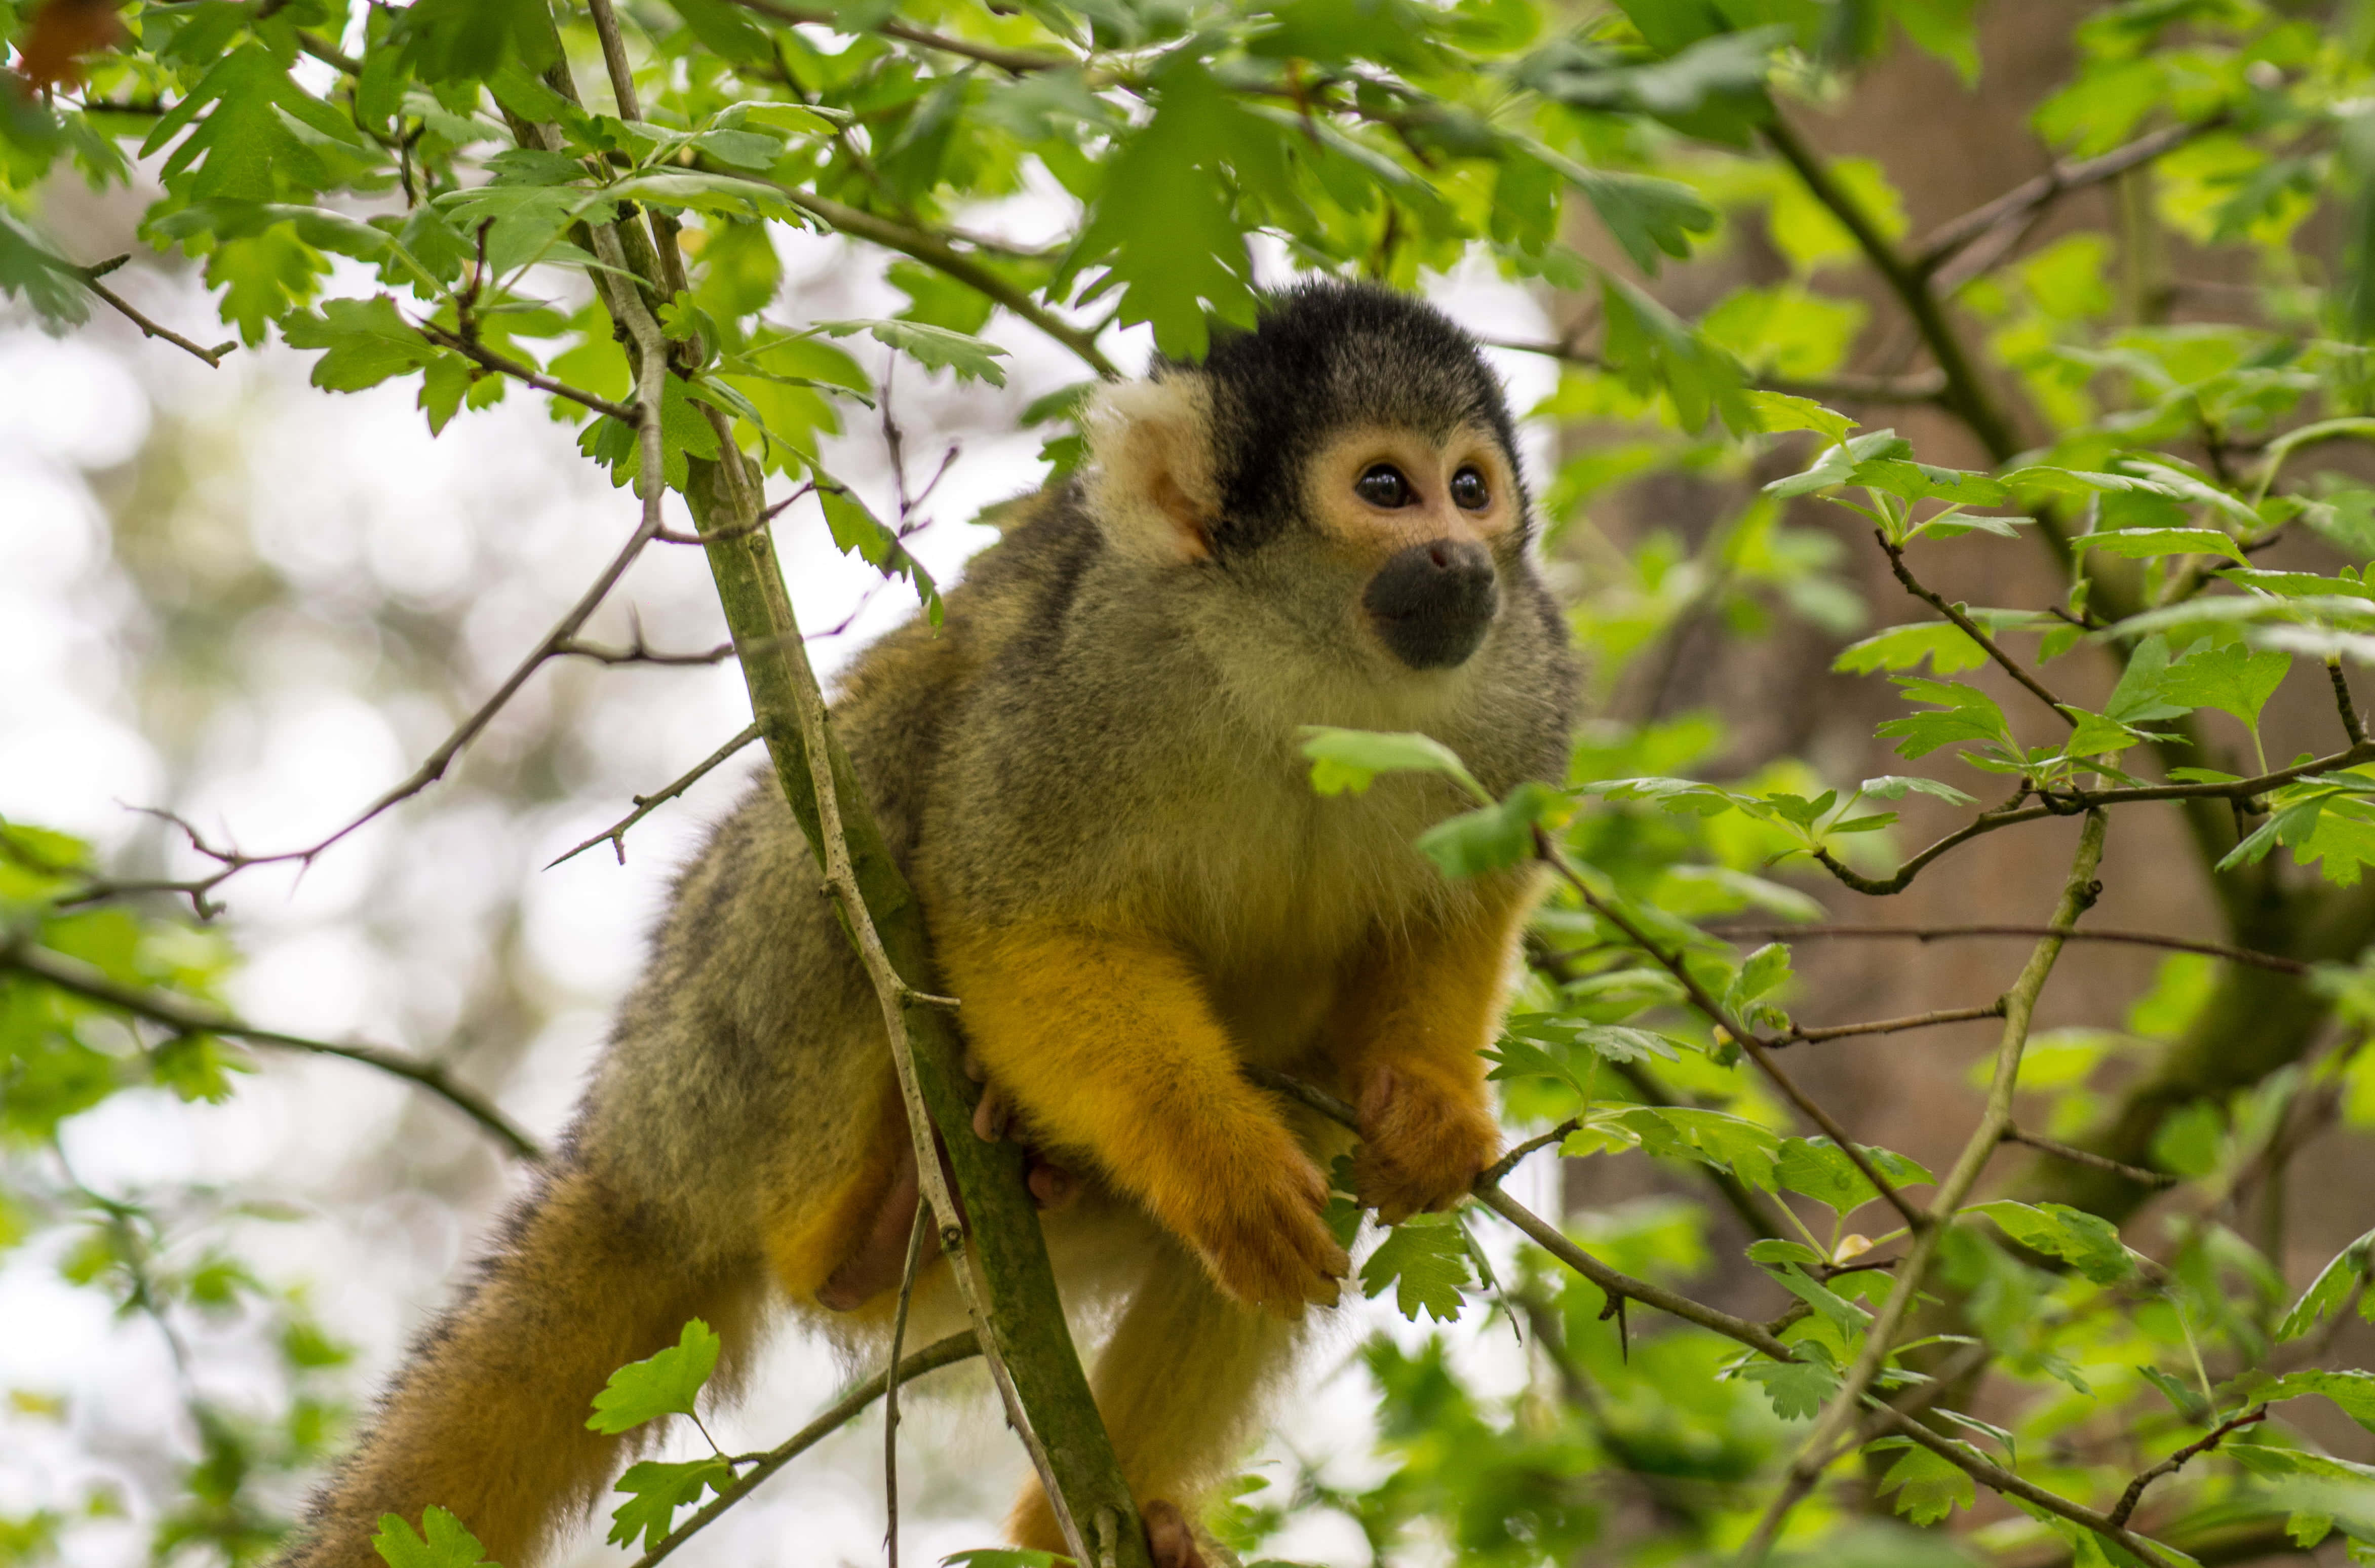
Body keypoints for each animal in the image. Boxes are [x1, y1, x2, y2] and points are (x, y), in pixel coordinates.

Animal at [280, 278, 1578, 1568]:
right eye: (1385, 488)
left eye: (1470, 486)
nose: (1460, 554)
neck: (1313, 670)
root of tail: (633, 1147)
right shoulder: (1092, 661)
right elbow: (1017, 914)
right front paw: (1224, 1172)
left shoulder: (1523, 674)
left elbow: (1467, 900)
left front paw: (1427, 1103)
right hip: (714, 1063)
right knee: (870, 769)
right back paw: (864, 1233)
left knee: (1307, 1126)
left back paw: (1093, 1518)